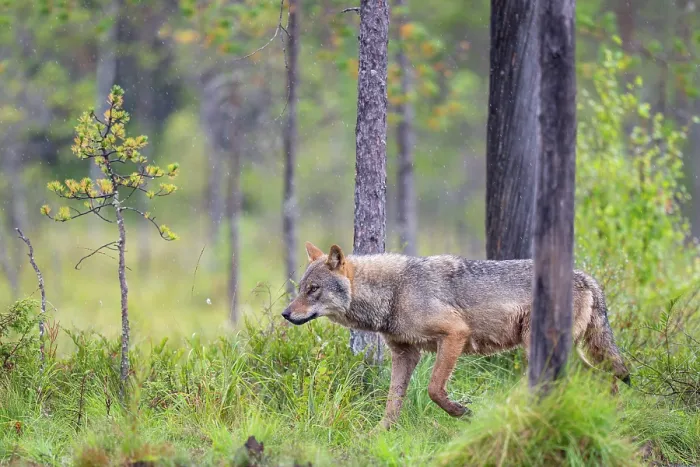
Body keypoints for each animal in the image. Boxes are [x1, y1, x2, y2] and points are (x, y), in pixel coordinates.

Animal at [281, 242, 631, 429]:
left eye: (313, 290)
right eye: (301, 288)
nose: (285, 314)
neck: (394, 292)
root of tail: (586, 276)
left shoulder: (454, 334)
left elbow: (435, 390)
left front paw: (463, 413)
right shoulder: (405, 353)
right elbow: (392, 402)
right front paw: (377, 435)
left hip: (541, 348)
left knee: (603, 377)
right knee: (604, 378)